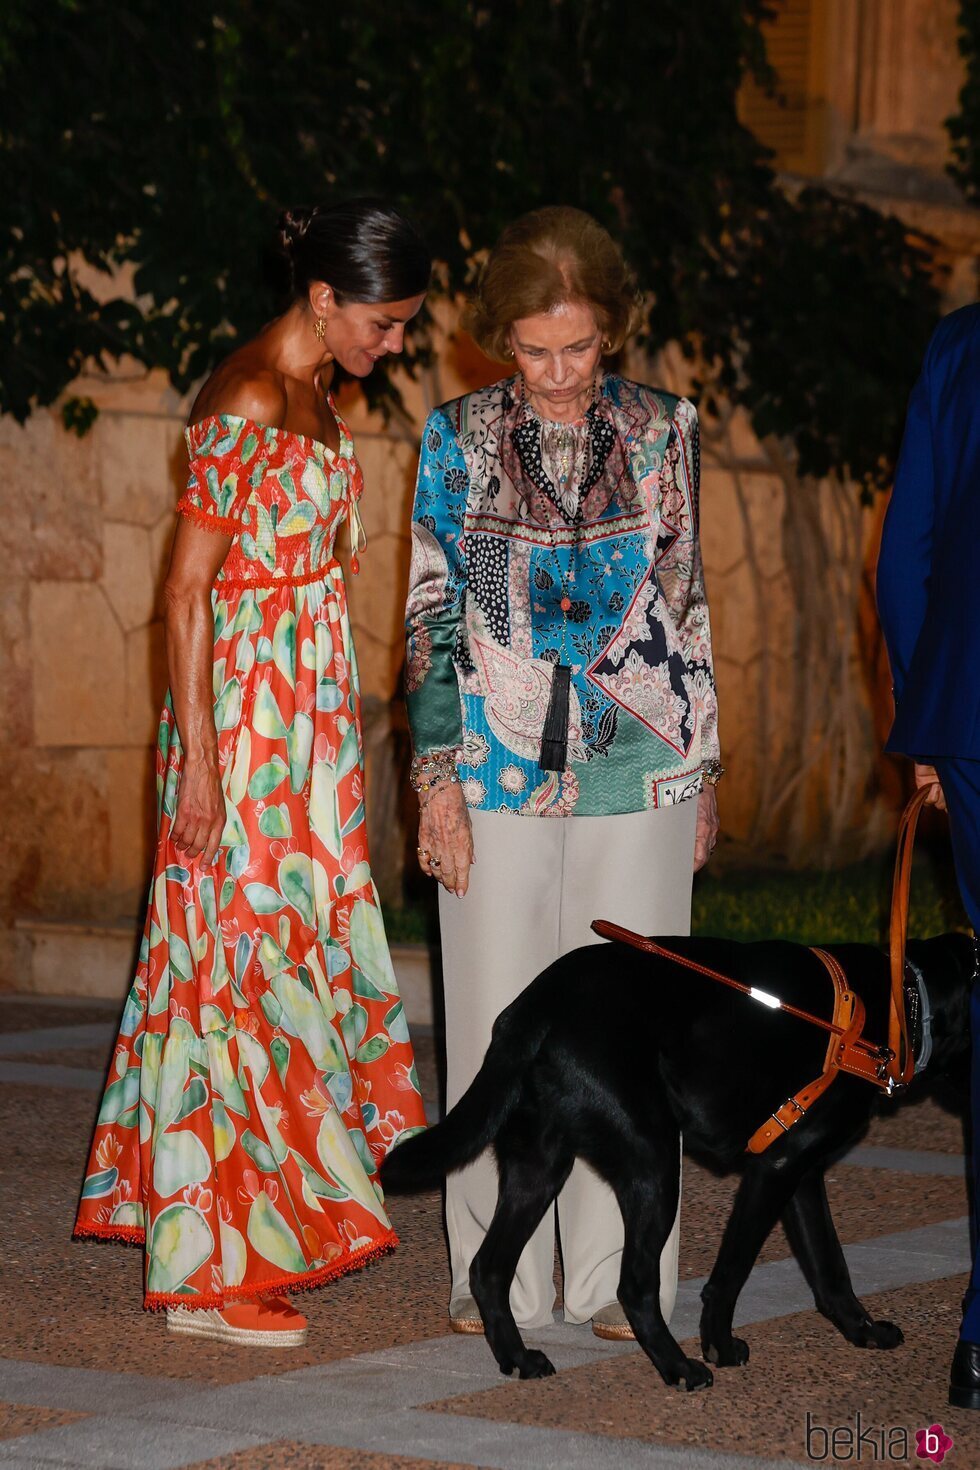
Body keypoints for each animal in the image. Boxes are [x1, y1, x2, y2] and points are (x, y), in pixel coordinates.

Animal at [382, 929, 975, 1387]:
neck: (903, 1001)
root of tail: (534, 1009)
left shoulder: (801, 1175)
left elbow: (831, 1267)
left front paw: (862, 1332)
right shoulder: (774, 1170)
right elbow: (731, 1272)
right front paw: (719, 1346)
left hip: (539, 1169)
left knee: (488, 1268)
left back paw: (519, 1360)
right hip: (656, 1164)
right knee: (634, 1284)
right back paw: (679, 1368)